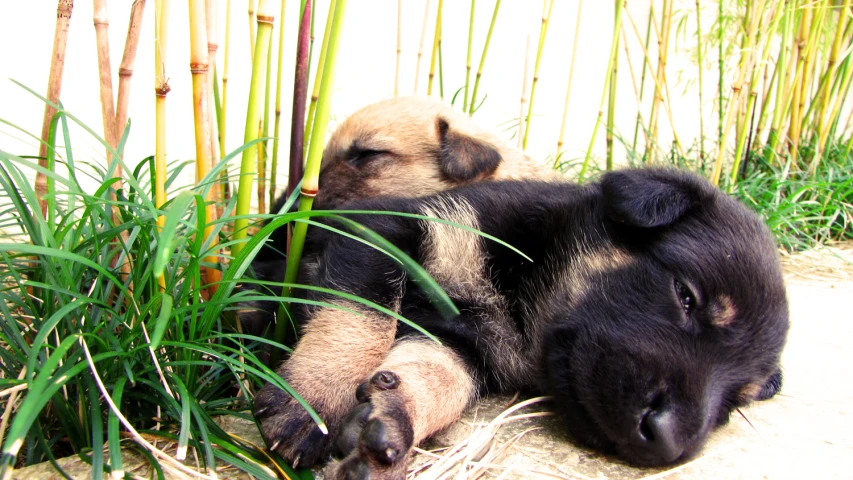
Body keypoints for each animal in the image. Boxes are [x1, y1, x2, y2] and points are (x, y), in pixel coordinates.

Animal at [251, 168, 784, 476]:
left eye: (733, 405)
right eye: (686, 296)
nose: (670, 443)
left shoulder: (466, 347)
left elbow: (442, 376)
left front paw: (394, 419)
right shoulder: (385, 230)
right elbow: (361, 317)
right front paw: (313, 401)